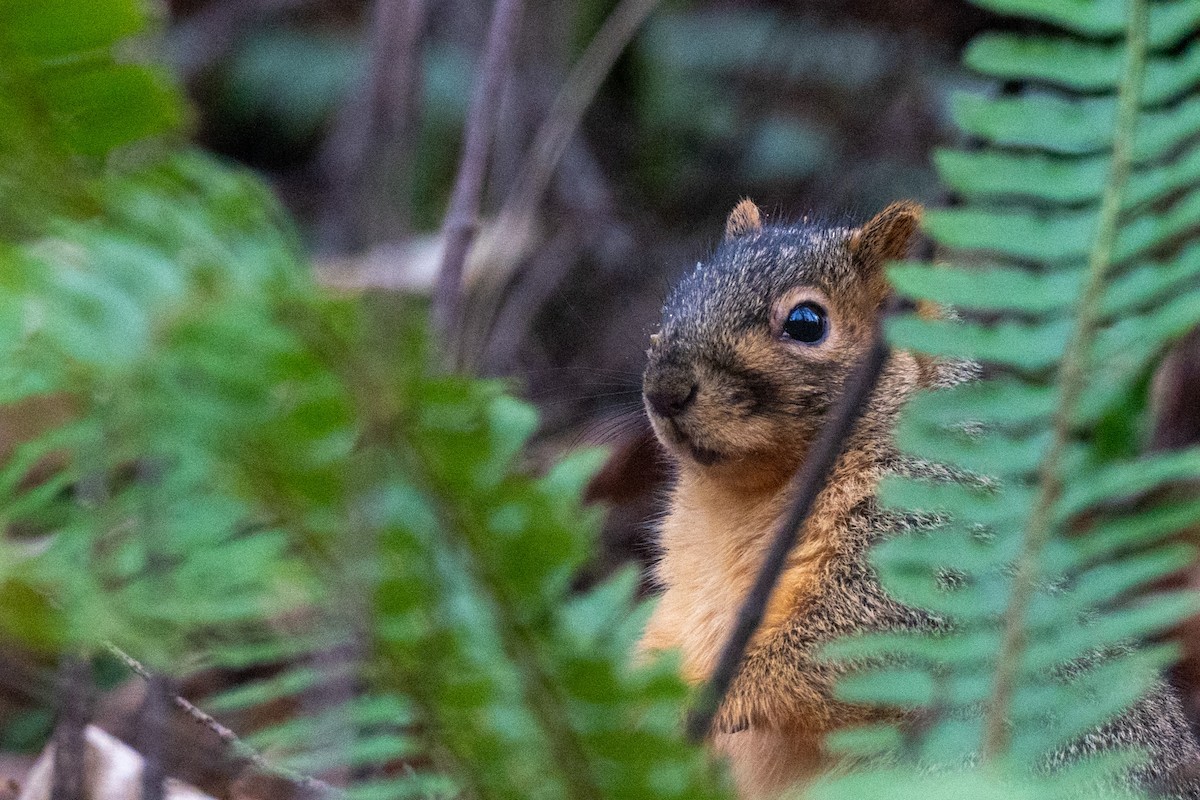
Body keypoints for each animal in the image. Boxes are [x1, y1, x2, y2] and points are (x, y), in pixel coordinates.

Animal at [638, 199, 1200, 798]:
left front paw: (722, 693)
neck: (738, 502)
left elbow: (857, 638)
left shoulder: (934, 546)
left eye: (806, 322)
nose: (664, 389)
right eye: (680, 295)